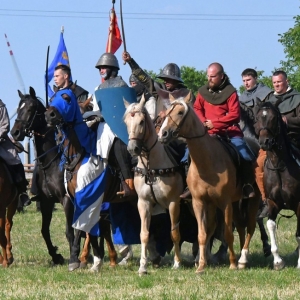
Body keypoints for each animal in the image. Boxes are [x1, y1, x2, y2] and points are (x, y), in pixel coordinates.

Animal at [158, 94, 258, 274]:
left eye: (180, 112)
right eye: (167, 112)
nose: (163, 134)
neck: (207, 161)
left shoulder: (225, 203)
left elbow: (227, 233)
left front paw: (232, 264)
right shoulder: (199, 202)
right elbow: (202, 233)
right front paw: (201, 265)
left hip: (252, 200)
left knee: (250, 227)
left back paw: (242, 259)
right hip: (231, 203)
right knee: (239, 227)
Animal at [254, 101, 300, 270]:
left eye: (273, 118)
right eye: (257, 118)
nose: (265, 142)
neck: (279, 165)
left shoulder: (299, 204)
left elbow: (299, 235)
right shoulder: (273, 203)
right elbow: (270, 225)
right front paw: (278, 261)